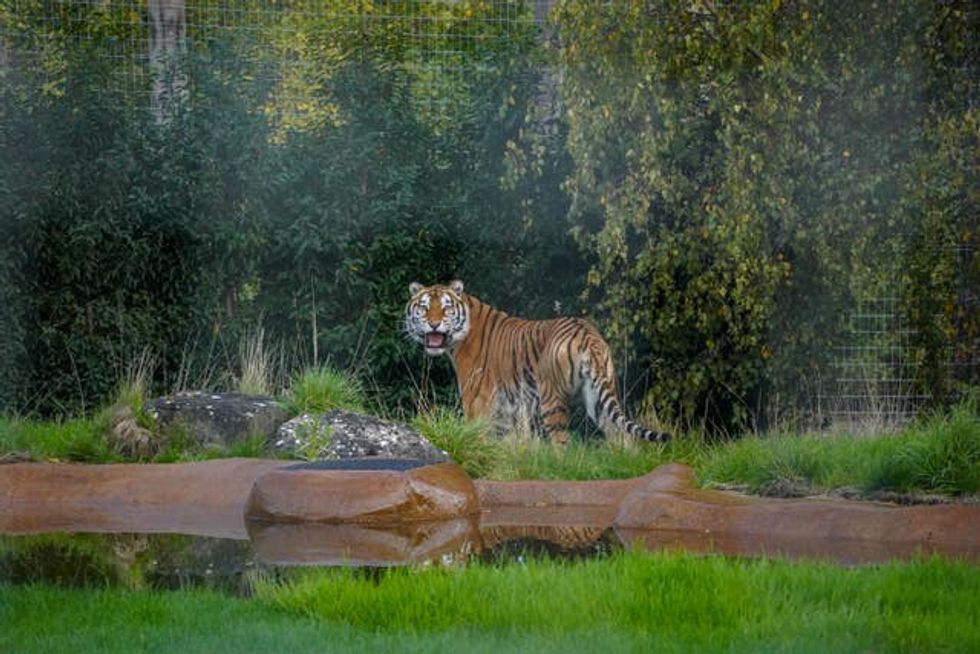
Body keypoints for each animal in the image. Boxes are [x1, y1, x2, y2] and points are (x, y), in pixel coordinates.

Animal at [404, 280, 670, 445]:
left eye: (446, 308)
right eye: (425, 307)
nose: (434, 324)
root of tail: (587, 334)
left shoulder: (475, 400)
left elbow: (475, 436)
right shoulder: (505, 410)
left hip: (550, 398)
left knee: (562, 443)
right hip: (598, 396)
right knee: (622, 437)